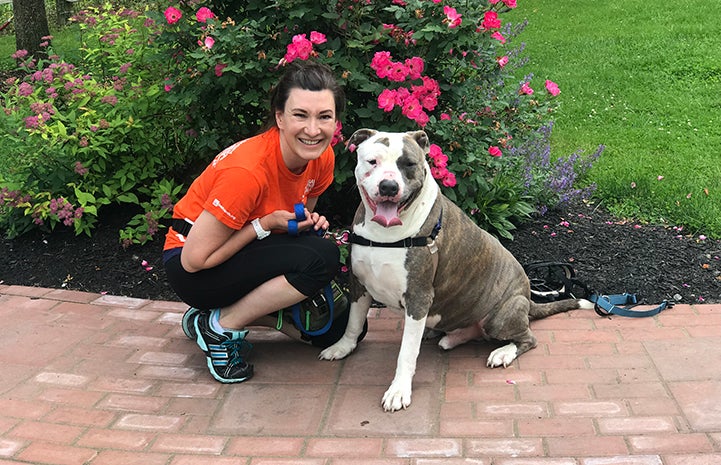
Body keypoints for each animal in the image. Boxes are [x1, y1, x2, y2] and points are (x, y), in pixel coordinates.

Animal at [320, 129, 592, 412]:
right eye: (373, 161)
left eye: (409, 164)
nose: (388, 187)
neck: (386, 235)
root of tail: (528, 299)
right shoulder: (358, 284)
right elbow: (353, 322)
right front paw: (342, 347)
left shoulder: (418, 297)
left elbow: (406, 353)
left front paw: (398, 390)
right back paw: (448, 337)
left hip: (500, 316)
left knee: (527, 338)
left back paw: (503, 352)